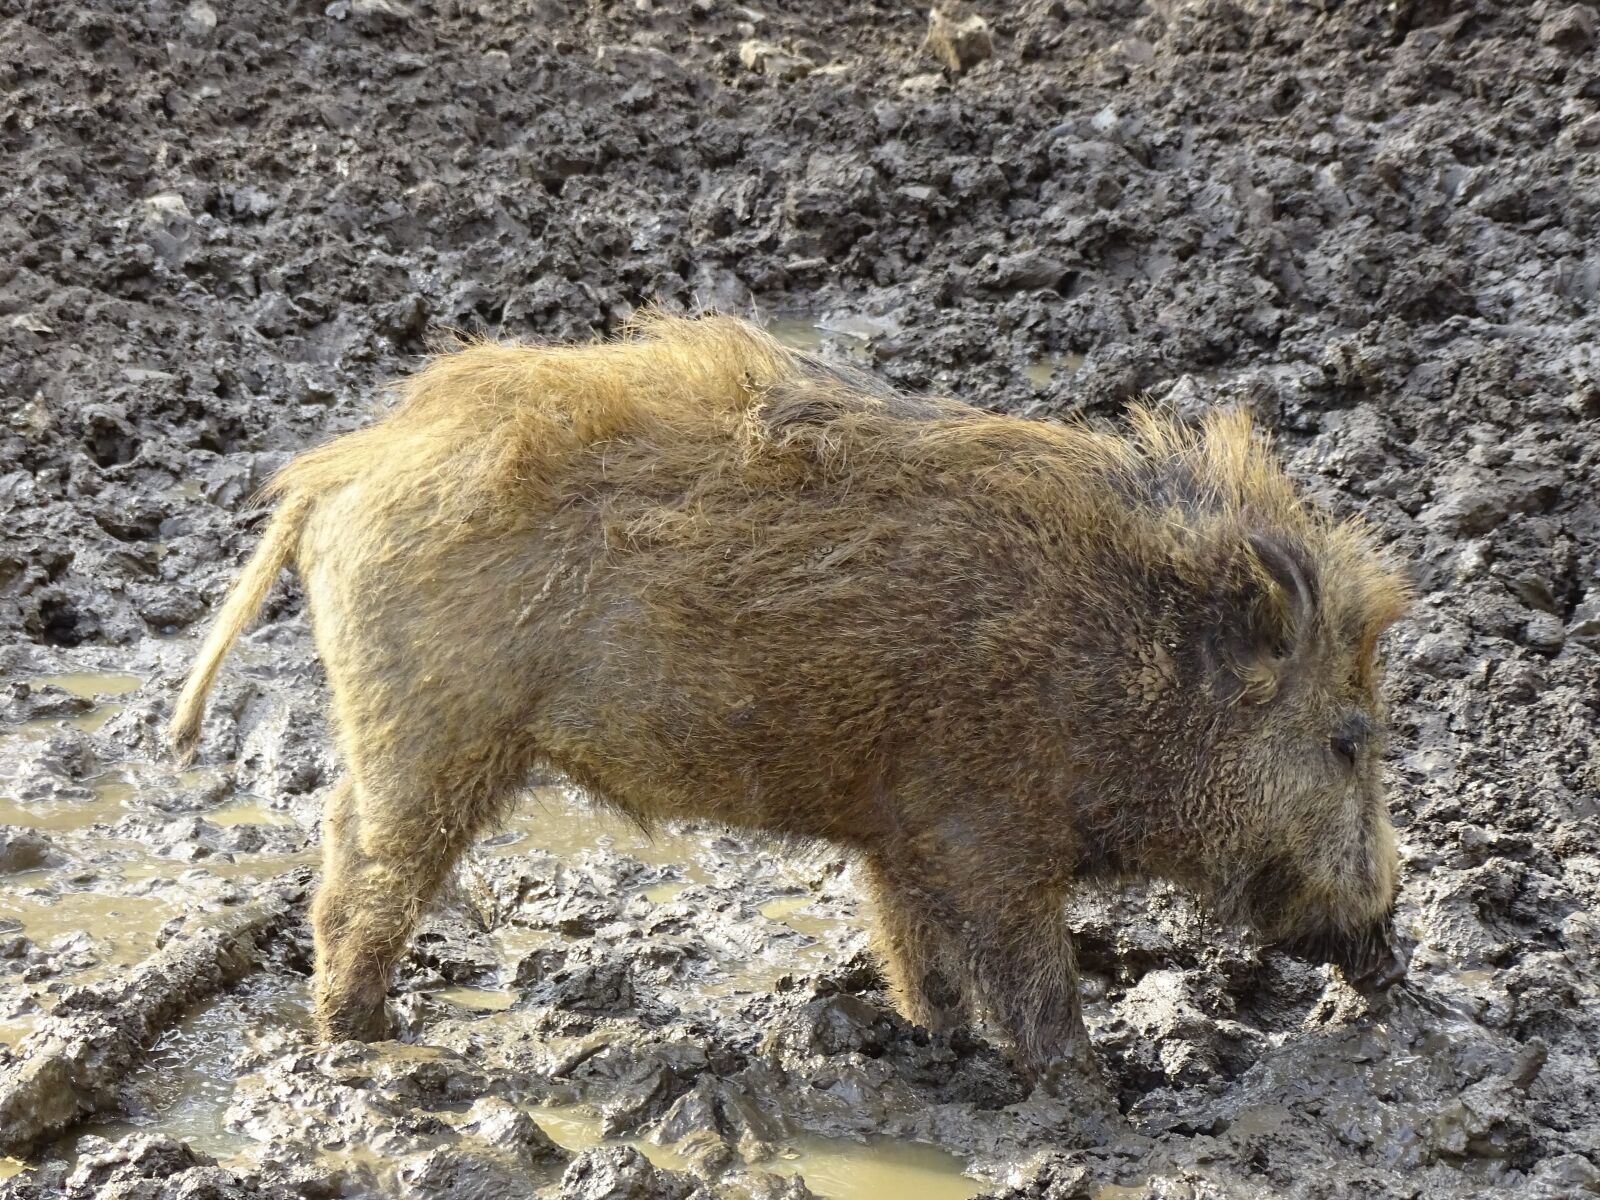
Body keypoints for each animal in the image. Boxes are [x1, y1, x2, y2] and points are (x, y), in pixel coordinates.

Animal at [169, 312, 1411, 1076]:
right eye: (1348, 738)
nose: (1392, 959)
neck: (1120, 664)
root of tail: (336, 472)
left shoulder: (903, 836)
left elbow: (918, 957)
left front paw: (932, 1040)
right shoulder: (987, 831)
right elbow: (1030, 978)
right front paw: (1092, 1088)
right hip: (432, 729)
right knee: (360, 877)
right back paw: (367, 1042)